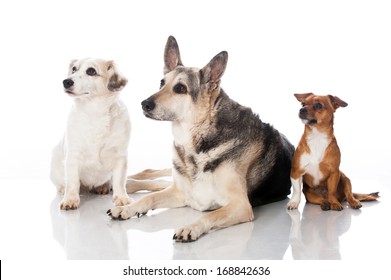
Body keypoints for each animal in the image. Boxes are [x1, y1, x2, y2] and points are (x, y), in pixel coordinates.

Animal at [50, 58, 132, 209]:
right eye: (74, 69)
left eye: (91, 71)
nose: (66, 81)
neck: (95, 113)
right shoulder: (73, 156)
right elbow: (72, 182)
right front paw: (70, 199)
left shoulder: (120, 156)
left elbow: (119, 181)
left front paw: (121, 197)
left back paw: (102, 186)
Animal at [107, 36, 294, 242]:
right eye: (161, 83)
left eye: (180, 88)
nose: (144, 104)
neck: (197, 138)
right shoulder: (181, 192)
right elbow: (149, 198)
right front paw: (127, 209)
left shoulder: (240, 206)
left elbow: (210, 215)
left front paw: (190, 228)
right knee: (155, 176)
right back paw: (126, 183)